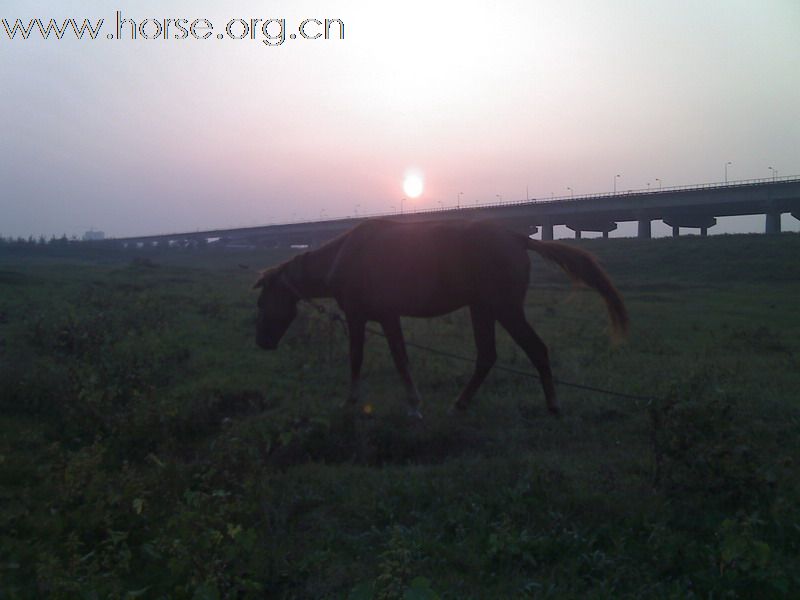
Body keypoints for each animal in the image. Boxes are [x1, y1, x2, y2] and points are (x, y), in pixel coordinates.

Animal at [253, 218, 628, 420]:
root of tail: (517, 237)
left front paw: (357, 403)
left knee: (536, 349)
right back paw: (460, 404)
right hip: (483, 309)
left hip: (505, 308)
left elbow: (366, 359)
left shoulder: (365, 317)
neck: (344, 257)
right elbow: (396, 358)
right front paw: (412, 404)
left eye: (262, 301)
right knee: (487, 356)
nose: (262, 342)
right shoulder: (385, 317)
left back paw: (552, 405)